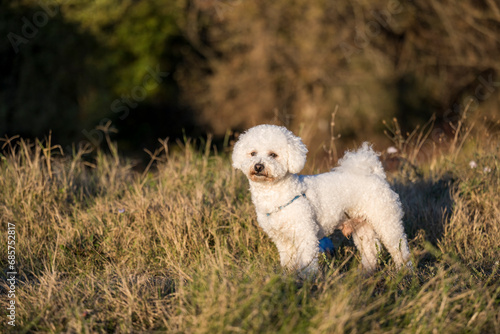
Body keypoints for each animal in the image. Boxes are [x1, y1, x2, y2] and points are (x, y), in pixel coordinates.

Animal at [232, 124, 412, 276]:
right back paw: (365, 273)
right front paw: (289, 277)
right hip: (362, 227)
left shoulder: (305, 235)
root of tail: (375, 174)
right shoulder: (282, 240)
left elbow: (307, 264)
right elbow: (288, 262)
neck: (276, 194)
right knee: (370, 251)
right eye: (253, 153)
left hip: (386, 222)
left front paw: (308, 282)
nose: (258, 166)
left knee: (400, 249)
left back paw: (405, 272)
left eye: (273, 155)